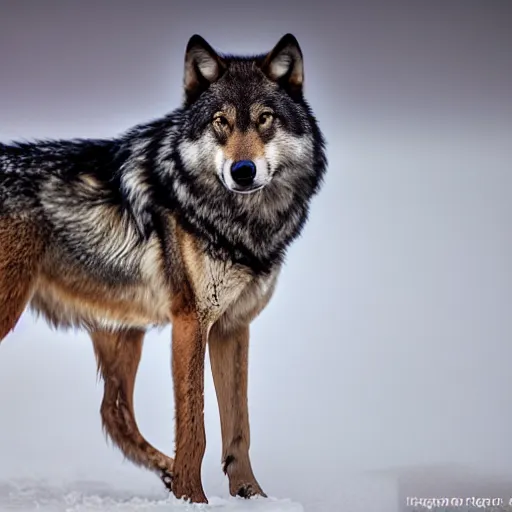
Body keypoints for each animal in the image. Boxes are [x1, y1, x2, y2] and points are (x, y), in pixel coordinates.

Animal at [0, 33, 326, 504]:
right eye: (220, 122)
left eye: (265, 119)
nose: (243, 171)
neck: (240, 224)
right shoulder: (191, 321)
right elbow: (195, 426)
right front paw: (193, 499)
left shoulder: (233, 326)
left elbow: (239, 427)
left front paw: (252, 496)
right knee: (118, 414)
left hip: (122, 334)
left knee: (113, 413)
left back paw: (166, 470)